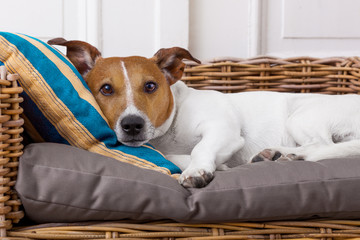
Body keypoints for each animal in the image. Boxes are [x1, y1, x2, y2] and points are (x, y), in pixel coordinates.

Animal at [48, 38, 360, 188]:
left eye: (150, 86)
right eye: (106, 89)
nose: (132, 125)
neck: (170, 130)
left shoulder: (223, 130)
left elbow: (201, 149)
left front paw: (198, 169)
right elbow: (168, 155)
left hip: (303, 118)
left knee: (321, 146)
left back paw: (291, 155)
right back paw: (275, 154)